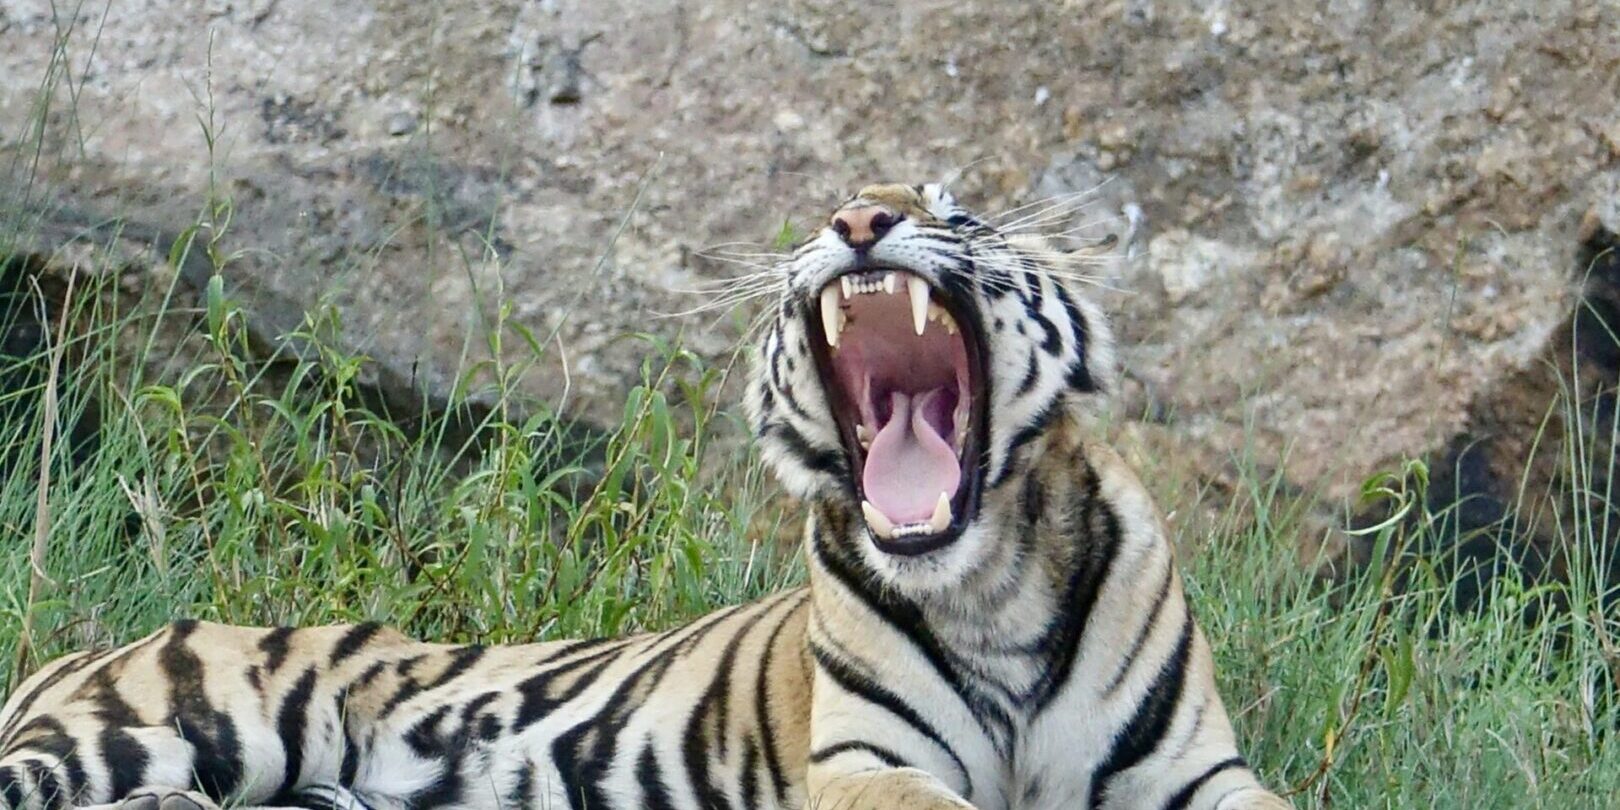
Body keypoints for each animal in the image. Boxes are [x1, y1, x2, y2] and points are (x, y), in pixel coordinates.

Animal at [0, 183, 1290, 810]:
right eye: (832, 208)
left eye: (956, 214)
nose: (859, 219)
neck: (991, 582)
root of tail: (72, 655)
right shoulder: (868, 763)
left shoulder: (1198, 775)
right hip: (159, 726)